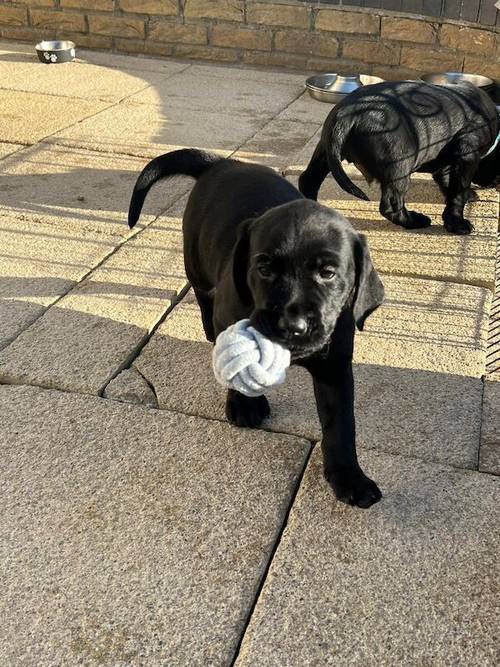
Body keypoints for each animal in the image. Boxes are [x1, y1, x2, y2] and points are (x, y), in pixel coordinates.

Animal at [127, 149, 384, 508]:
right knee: (203, 297)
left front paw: (349, 477)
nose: (292, 325)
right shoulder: (230, 318)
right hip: (195, 261)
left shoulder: (335, 366)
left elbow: (341, 424)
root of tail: (221, 163)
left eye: (328, 273)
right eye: (264, 268)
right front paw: (245, 405)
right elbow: (234, 365)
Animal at [298, 80, 498, 235]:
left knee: (308, 180)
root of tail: (347, 113)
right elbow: (458, 188)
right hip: (399, 165)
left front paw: (467, 197)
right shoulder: (467, 154)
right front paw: (458, 223)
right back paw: (415, 221)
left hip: (324, 152)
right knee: (391, 205)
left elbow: (450, 182)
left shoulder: (446, 165)